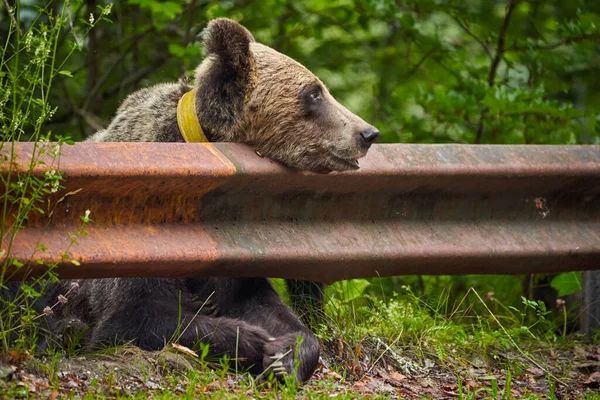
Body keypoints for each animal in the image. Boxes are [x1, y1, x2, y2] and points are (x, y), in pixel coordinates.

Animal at [47, 17, 378, 382]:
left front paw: (286, 353)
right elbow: (136, 314)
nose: (368, 133)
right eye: (314, 93)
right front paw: (252, 339)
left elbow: (265, 306)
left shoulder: (230, 250)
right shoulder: (137, 231)